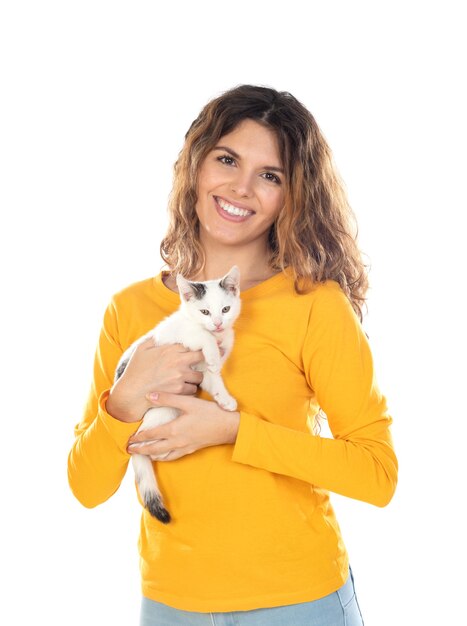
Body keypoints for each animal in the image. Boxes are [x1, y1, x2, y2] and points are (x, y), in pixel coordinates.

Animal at [115, 264, 243, 520]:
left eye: (225, 309)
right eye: (205, 312)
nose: (217, 324)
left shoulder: (203, 371)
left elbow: (214, 379)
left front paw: (225, 400)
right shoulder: (175, 337)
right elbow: (202, 337)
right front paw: (213, 352)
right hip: (159, 413)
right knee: (140, 443)